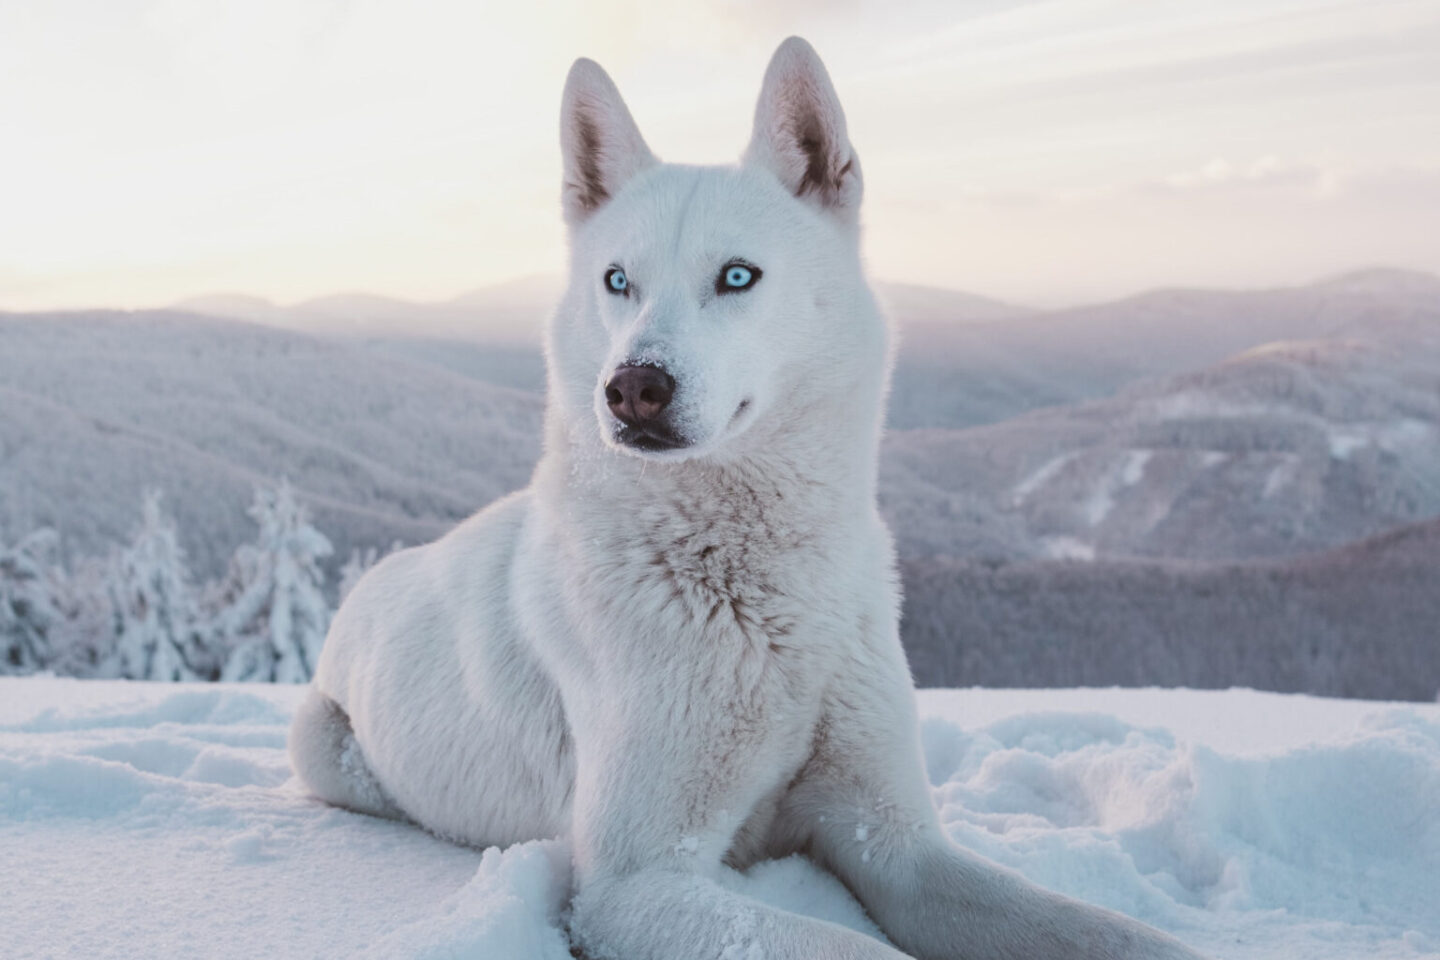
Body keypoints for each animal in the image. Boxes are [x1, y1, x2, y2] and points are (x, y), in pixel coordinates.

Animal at [286, 33, 1209, 955]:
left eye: (737, 276)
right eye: (618, 281)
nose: (632, 389)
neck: (759, 590)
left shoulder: (897, 845)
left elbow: (1099, 930)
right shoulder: (635, 883)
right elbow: (853, 946)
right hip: (323, 750)